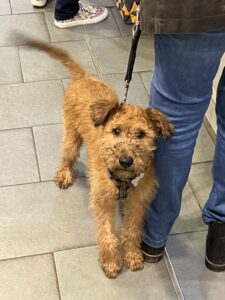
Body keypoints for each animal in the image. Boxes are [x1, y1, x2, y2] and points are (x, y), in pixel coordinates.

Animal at [25, 38, 174, 278]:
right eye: (116, 130)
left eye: (141, 134)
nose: (125, 161)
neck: (123, 181)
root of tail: (85, 77)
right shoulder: (103, 200)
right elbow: (108, 234)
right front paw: (111, 262)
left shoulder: (138, 200)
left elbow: (131, 230)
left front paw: (132, 255)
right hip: (71, 134)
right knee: (67, 154)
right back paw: (64, 174)